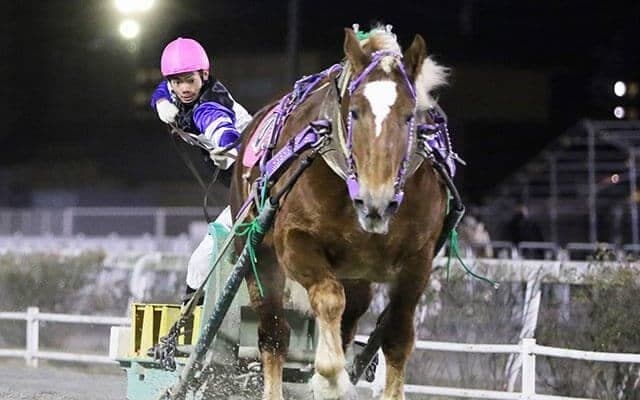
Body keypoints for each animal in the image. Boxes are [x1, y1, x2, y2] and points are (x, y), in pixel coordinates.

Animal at [230, 26, 450, 400]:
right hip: (259, 254)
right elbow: (329, 299)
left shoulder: (419, 260)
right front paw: (330, 380)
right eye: (355, 111)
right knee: (274, 333)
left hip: (357, 274)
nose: (377, 201)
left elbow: (398, 335)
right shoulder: (294, 241)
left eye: (409, 115)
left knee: (349, 320)